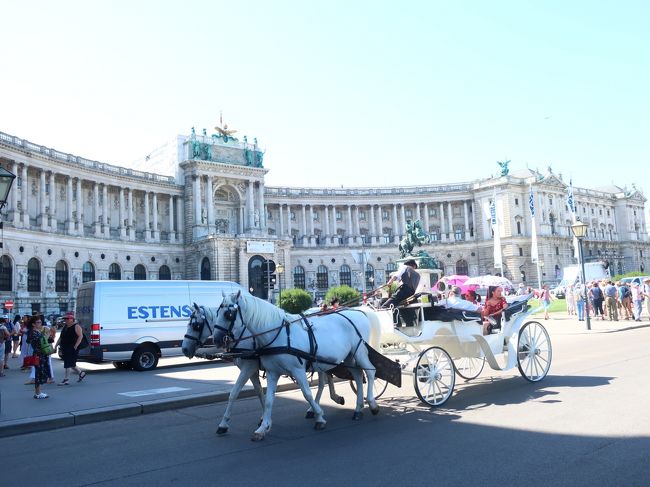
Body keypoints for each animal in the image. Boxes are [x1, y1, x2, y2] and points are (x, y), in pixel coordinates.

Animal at [181, 304, 344, 436]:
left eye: (196, 325)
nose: (184, 349)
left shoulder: (248, 367)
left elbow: (234, 393)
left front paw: (224, 424)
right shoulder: (252, 370)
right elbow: (260, 392)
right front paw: (264, 418)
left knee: (323, 382)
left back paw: (319, 407)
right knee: (327, 377)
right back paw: (328, 401)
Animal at [213, 294, 378, 442]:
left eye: (228, 314)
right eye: (217, 312)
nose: (215, 339)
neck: (277, 334)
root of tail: (358, 312)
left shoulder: (291, 369)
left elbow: (307, 394)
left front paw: (319, 417)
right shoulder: (272, 372)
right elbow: (266, 398)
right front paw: (263, 427)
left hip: (359, 352)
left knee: (370, 372)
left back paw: (371, 403)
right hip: (348, 356)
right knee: (356, 375)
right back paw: (358, 408)